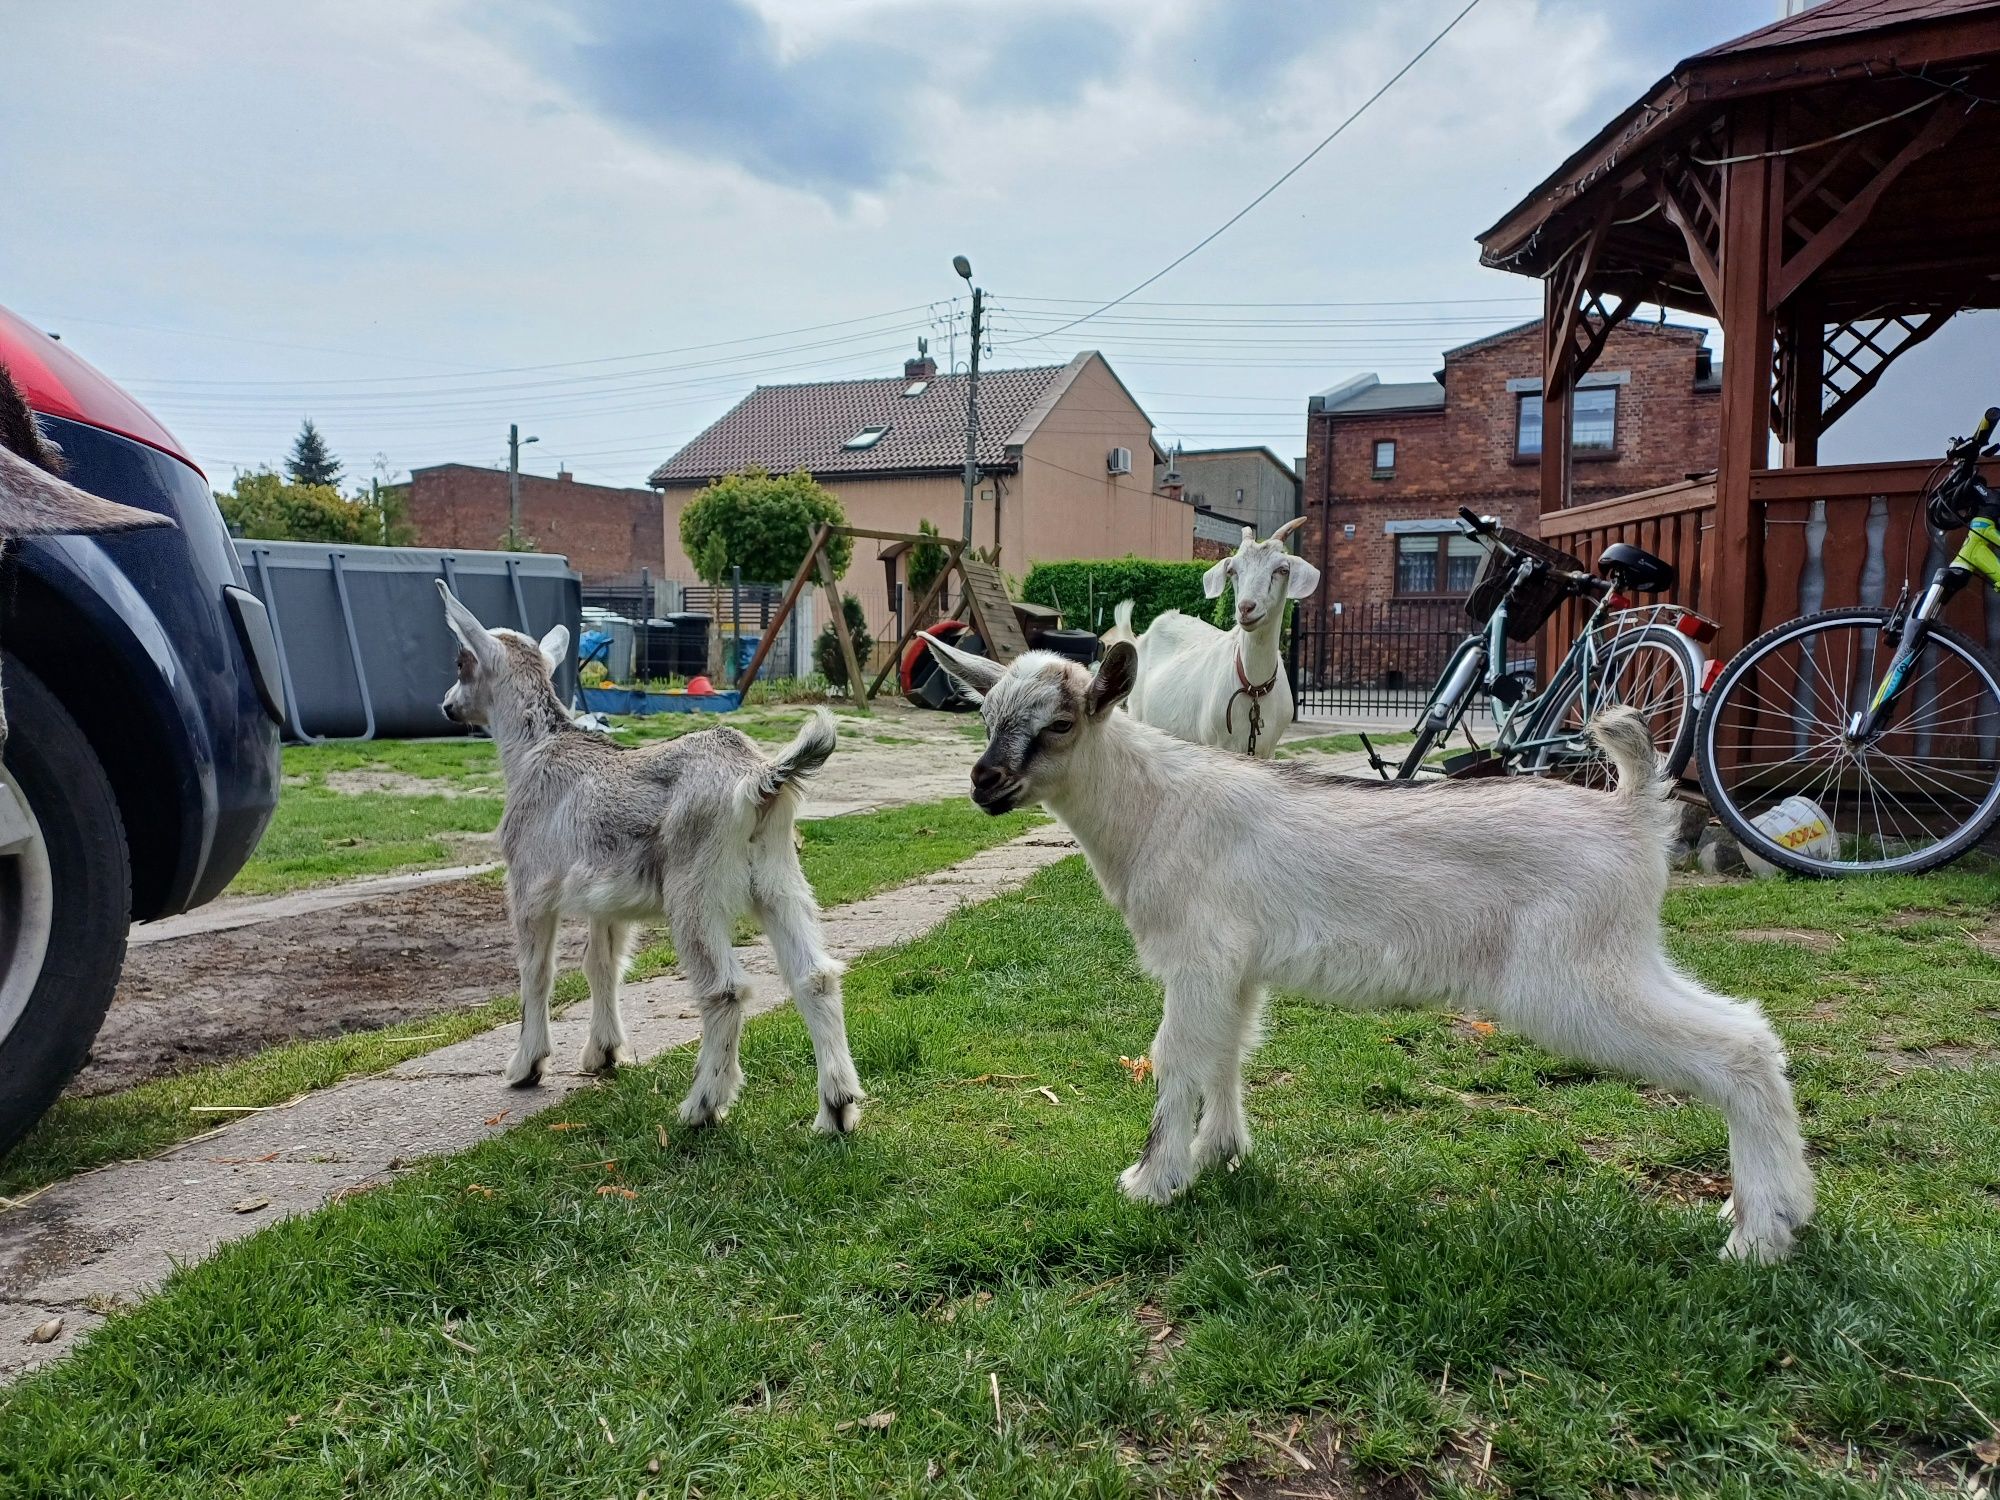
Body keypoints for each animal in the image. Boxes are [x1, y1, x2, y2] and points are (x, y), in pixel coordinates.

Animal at [1120, 524, 1320, 764]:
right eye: (1232, 570)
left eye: (1282, 569)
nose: (1246, 608)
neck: (1254, 688)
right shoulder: (1218, 744)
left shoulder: (1268, 750)